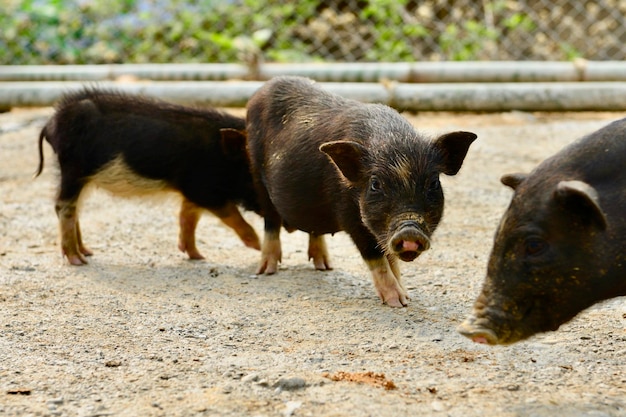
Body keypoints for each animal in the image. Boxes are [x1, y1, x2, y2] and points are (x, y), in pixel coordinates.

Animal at [35, 88, 260, 264]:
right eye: (253, 174)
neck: (220, 154)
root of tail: (51, 122)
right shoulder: (203, 189)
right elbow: (229, 213)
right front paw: (256, 244)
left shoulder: (193, 191)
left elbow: (188, 216)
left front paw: (198, 256)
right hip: (73, 168)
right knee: (63, 206)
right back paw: (78, 261)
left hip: (77, 175)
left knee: (74, 208)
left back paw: (87, 252)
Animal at [246, 75, 476, 306]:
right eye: (375, 184)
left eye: (433, 183)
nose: (409, 230)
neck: (394, 142)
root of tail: (264, 87)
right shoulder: (350, 216)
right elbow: (376, 256)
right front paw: (397, 302)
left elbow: (391, 258)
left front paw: (407, 296)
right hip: (256, 172)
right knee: (271, 221)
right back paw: (267, 271)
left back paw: (325, 267)